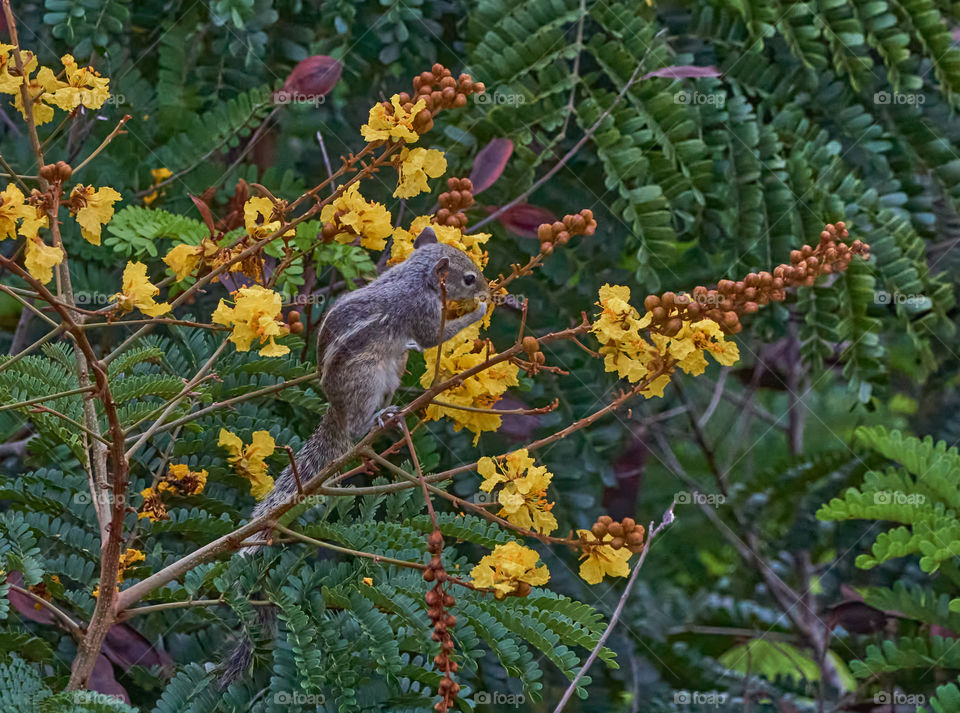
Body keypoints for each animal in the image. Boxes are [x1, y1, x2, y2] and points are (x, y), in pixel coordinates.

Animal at [220, 226, 489, 686]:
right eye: (468, 278)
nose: (486, 285)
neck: (415, 277)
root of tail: (336, 406)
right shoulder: (423, 313)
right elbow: (434, 338)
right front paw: (482, 308)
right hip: (367, 379)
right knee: (359, 424)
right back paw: (380, 419)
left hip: (392, 372)